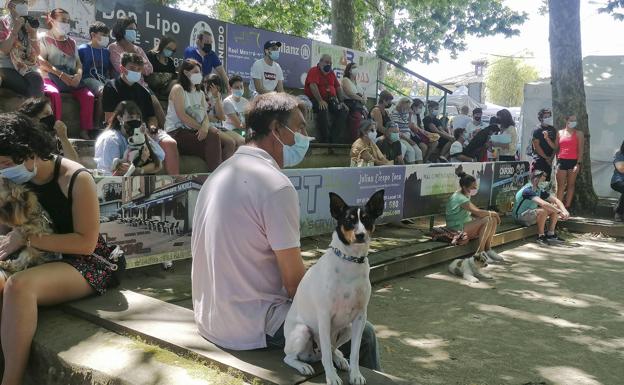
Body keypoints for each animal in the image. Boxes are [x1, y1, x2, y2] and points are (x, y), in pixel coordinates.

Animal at [284, 189, 386, 384]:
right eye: (349, 220)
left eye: (367, 219)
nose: (360, 235)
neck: (350, 260)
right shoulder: (324, 316)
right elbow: (326, 355)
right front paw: (331, 377)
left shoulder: (360, 317)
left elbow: (354, 353)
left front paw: (356, 375)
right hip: (303, 332)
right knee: (290, 357)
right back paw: (303, 366)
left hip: (347, 329)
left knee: (331, 348)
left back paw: (339, 358)